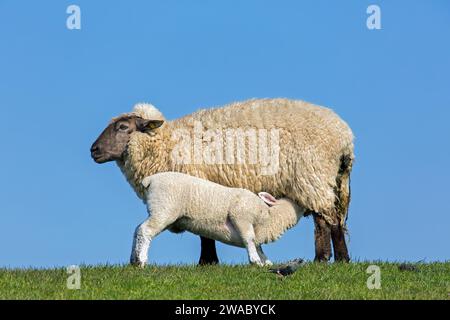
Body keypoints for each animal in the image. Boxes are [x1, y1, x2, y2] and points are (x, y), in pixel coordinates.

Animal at [130, 172, 306, 268]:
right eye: (296, 201)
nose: (308, 208)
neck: (269, 215)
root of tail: (150, 179)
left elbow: (259, 247)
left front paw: (266, 262)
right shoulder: (241, 218)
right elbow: (249, 240)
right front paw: (255, 261)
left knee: (137, 229)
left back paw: (133, 259)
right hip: (164, 210)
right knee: (145, 231)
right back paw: (142, 261)